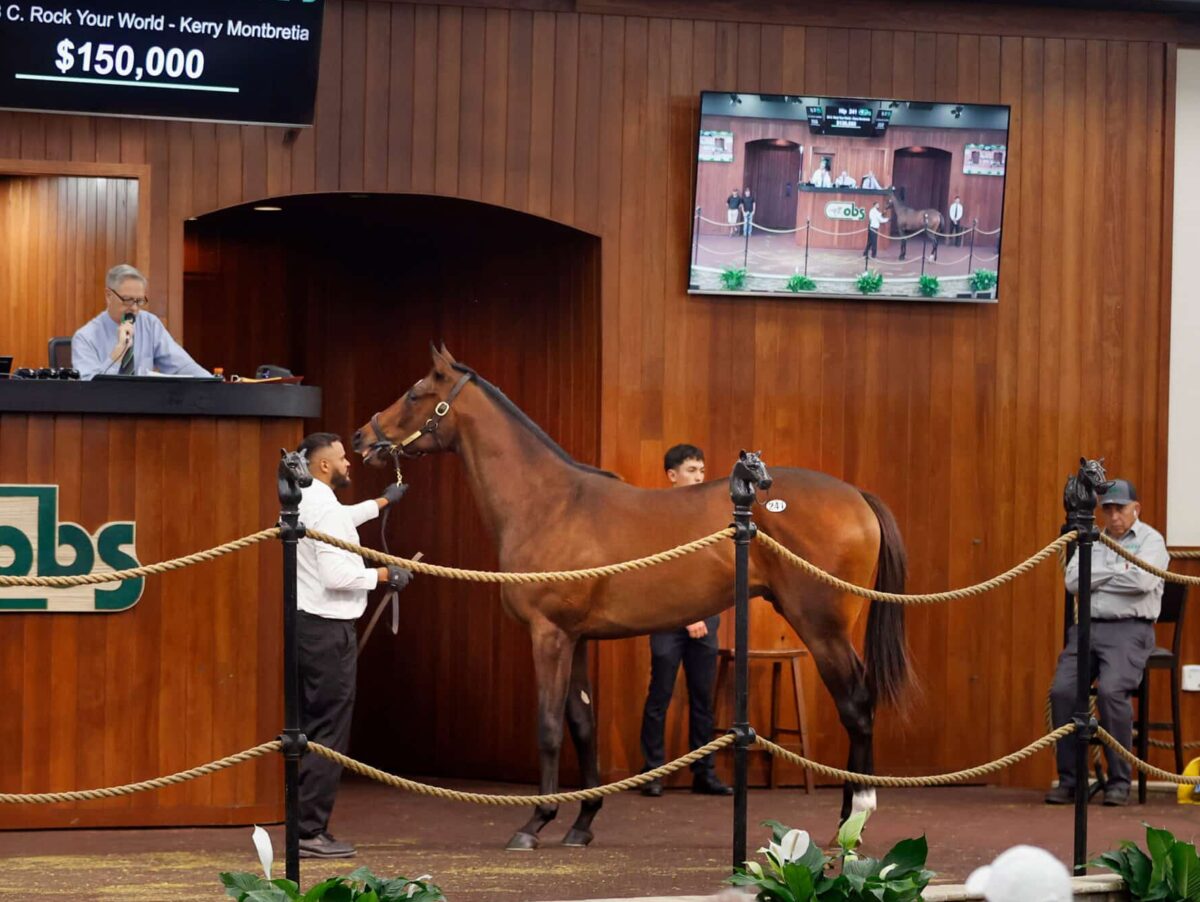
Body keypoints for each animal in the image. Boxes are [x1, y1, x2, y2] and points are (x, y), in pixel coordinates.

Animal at [350, 347, 912, 854]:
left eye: (416, 394)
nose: (362, 437)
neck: (550, 504)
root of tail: (858, 496)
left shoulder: (548, 634)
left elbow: (549, 726)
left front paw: (534, 823)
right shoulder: (575, 638)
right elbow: (583, 725)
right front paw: (582, 823)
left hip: (822, 627)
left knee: (857, 706)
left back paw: (852, 823)